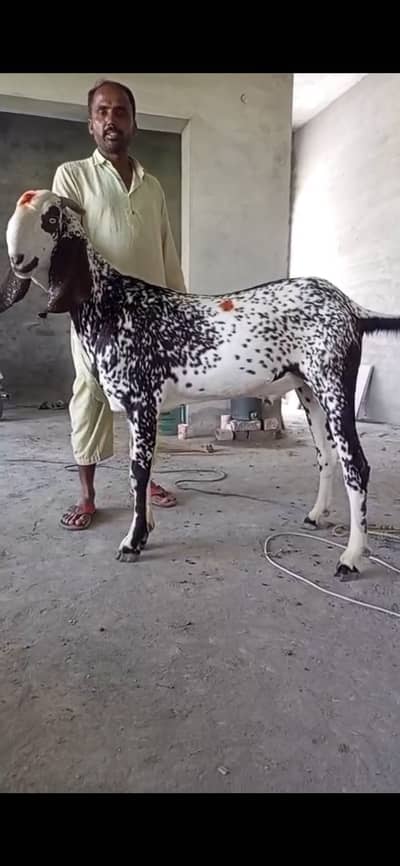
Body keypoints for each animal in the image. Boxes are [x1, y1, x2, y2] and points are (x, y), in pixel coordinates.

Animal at [2, 189, 400, 578]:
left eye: (50, 217)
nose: (17, 257)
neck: (111, 303)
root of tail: (350, 307)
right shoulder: (138, 412)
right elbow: (142, 472)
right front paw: (145, 529)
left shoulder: (141, 404)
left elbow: (137, 474)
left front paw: (133, 541)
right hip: (309, 392)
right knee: (326, 454)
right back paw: (317, 515)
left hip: (334, 387)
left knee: (356, 465)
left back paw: (351, 556)